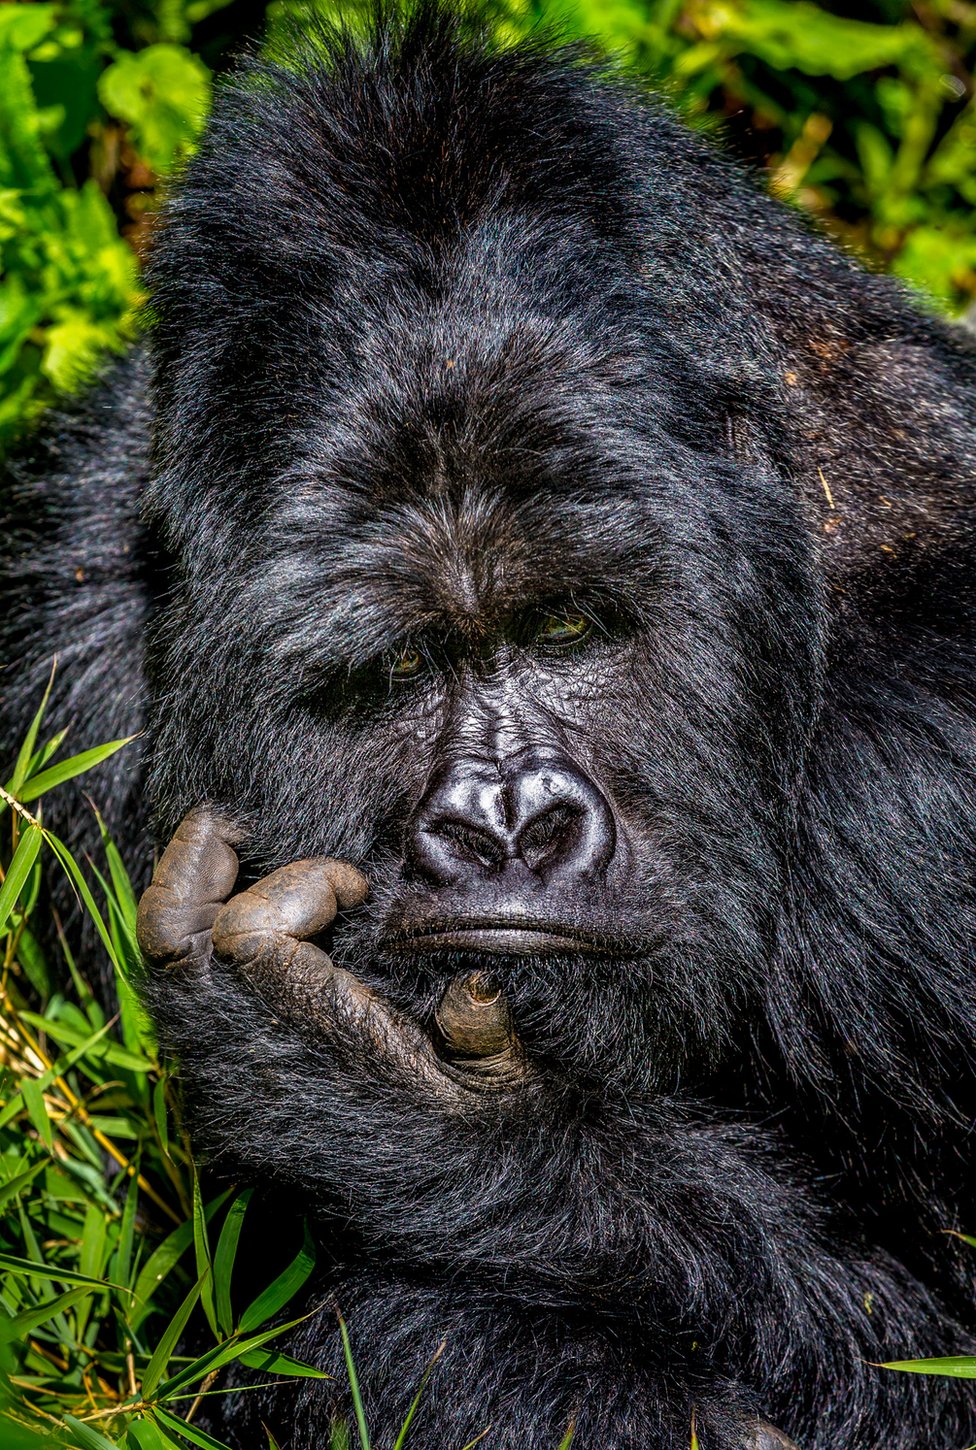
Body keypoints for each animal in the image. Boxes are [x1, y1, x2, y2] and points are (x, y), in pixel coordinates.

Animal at [1, 5, 974, 1444]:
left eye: (568, 628)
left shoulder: (924, 799)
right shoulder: (57, 666)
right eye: (401, 664)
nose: (509, 826)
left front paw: (433, 1117)